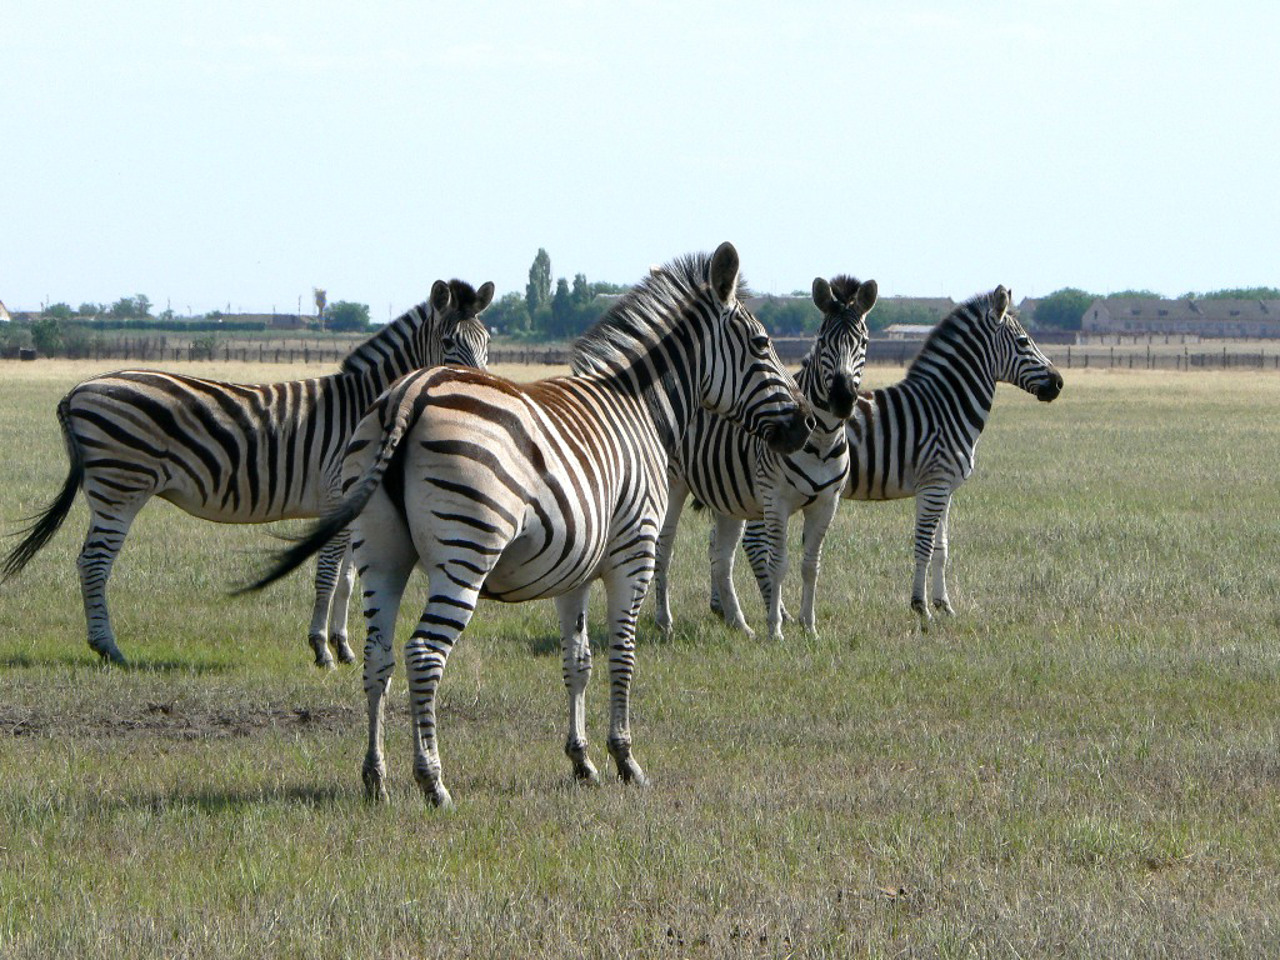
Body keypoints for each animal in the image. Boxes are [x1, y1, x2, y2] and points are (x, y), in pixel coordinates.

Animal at [1, 280, 494, 670]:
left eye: (487, 341)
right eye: (448, 341)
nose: (476, 391)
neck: (371, 407)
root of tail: (78, 389)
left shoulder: (360, 505)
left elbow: (349, 579)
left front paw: (344, 646)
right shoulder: (337, 496)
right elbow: (328, 574)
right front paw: (322, 650)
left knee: (90, 560)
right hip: (120, 487)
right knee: (94, 561)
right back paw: (109, 648)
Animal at [244, 244, 814, 808]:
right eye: (763, 344)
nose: (807, 425)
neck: (641, 408)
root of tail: (410, 394)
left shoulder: (576, 569)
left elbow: (578, 660)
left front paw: (582, 761)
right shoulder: (634, 554)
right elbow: (622, 656)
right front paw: (626, 760)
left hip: (381, 554)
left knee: (377, 657)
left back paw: (375, 778)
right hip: (465, 551)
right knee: (423, 654)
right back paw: (433, 782)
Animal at [655, 273, 875, 642]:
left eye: (863, 341)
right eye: (822, 340)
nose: (843, 398)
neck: (822, 438)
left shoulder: (827, 503)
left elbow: (811, 565)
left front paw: (809, 627)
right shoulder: (777, 501)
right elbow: (779, 563)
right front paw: (775, 630)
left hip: (727, 495)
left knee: (721, 556)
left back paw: (737, 621)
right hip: (674, 483)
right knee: (664, 547)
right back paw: (664, 621)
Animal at [732, 285, 1059, 632]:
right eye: (1024, 342)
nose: (1059, 382)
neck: (945, 406)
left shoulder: (945, 489)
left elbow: (942, 548)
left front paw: (945, 605)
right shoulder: (933, 485)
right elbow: (924, 546)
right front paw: (921, 607)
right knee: (756, 543)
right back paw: (777, 612)